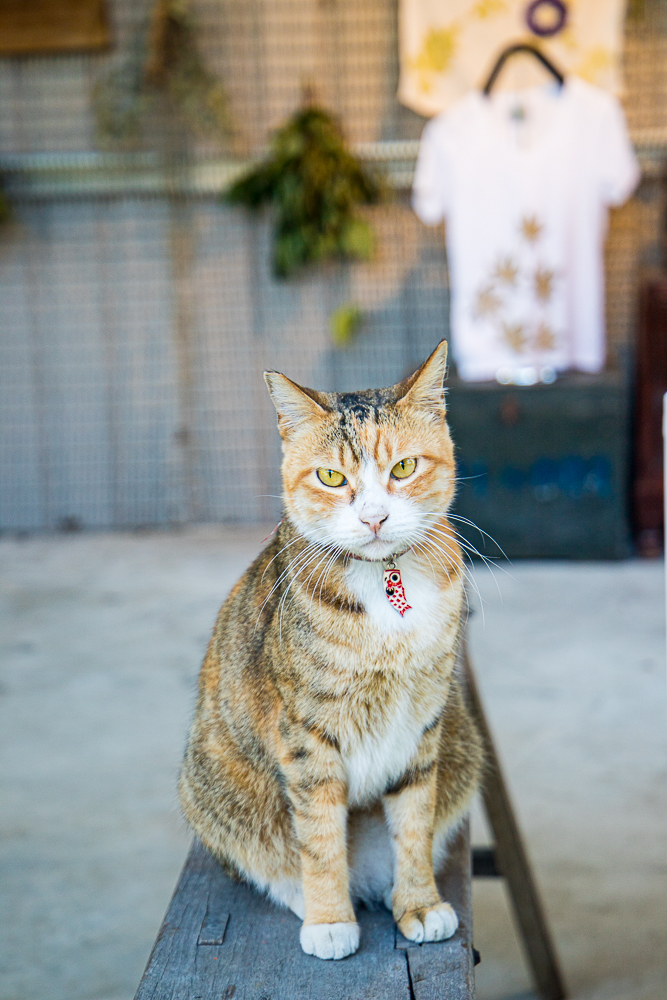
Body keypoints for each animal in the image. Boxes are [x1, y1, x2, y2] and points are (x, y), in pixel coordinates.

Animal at [181, 342, 486, 960]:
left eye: (403, 468)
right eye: (330, 476)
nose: (374, 517)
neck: (385, 580)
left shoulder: (423, 723)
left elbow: (414, 823)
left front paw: (418, 902)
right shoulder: (306, 734)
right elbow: (319, 835)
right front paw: (328, 918)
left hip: (461, 746)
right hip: (214, 785)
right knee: (268, 856)